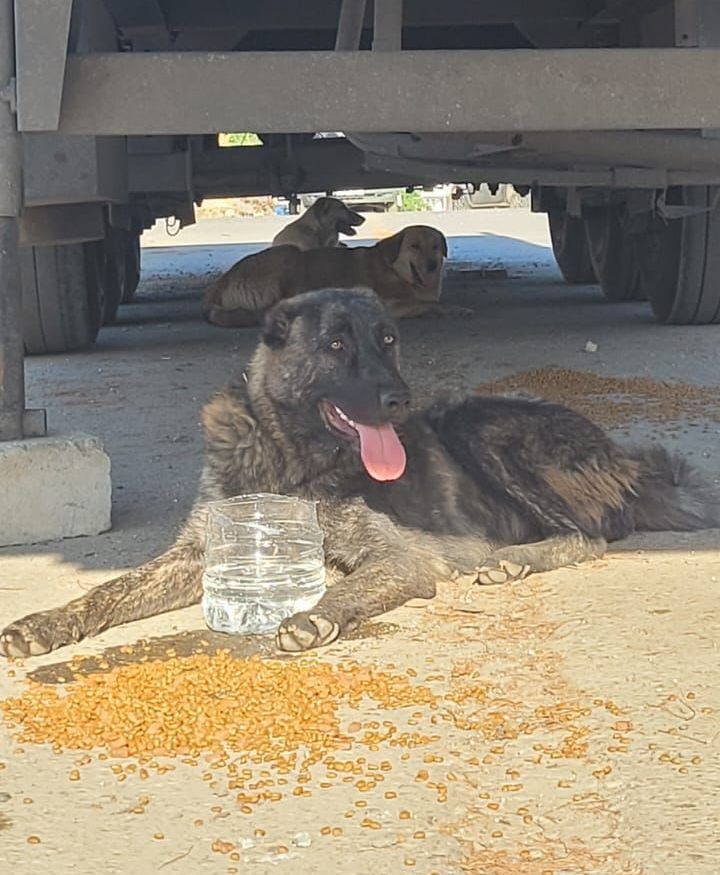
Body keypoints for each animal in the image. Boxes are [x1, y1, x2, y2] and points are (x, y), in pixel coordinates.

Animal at [201, 224, 462, 326]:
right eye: (414, 246)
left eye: (435, 246)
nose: (432, 265)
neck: (395, 270)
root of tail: (222, 282)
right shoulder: (388, 304)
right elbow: (426, 304)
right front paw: (449, 310)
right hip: (288, 255)